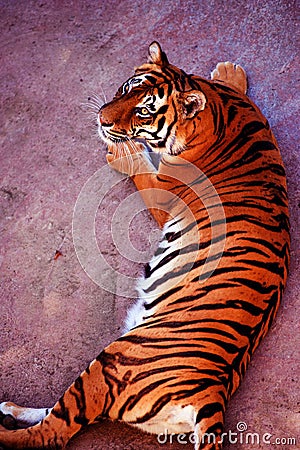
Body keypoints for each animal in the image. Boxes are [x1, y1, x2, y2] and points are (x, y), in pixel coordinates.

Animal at [0, 42, 290, 450]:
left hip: (111, 362)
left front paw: (120, 153)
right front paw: (229, 71)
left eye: (143, 111)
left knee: (52, 431)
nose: (102, 120)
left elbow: (140, 169)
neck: (219, 114)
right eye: (125, 89)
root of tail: (212, 394)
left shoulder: (163, 194)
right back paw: (10, 408)